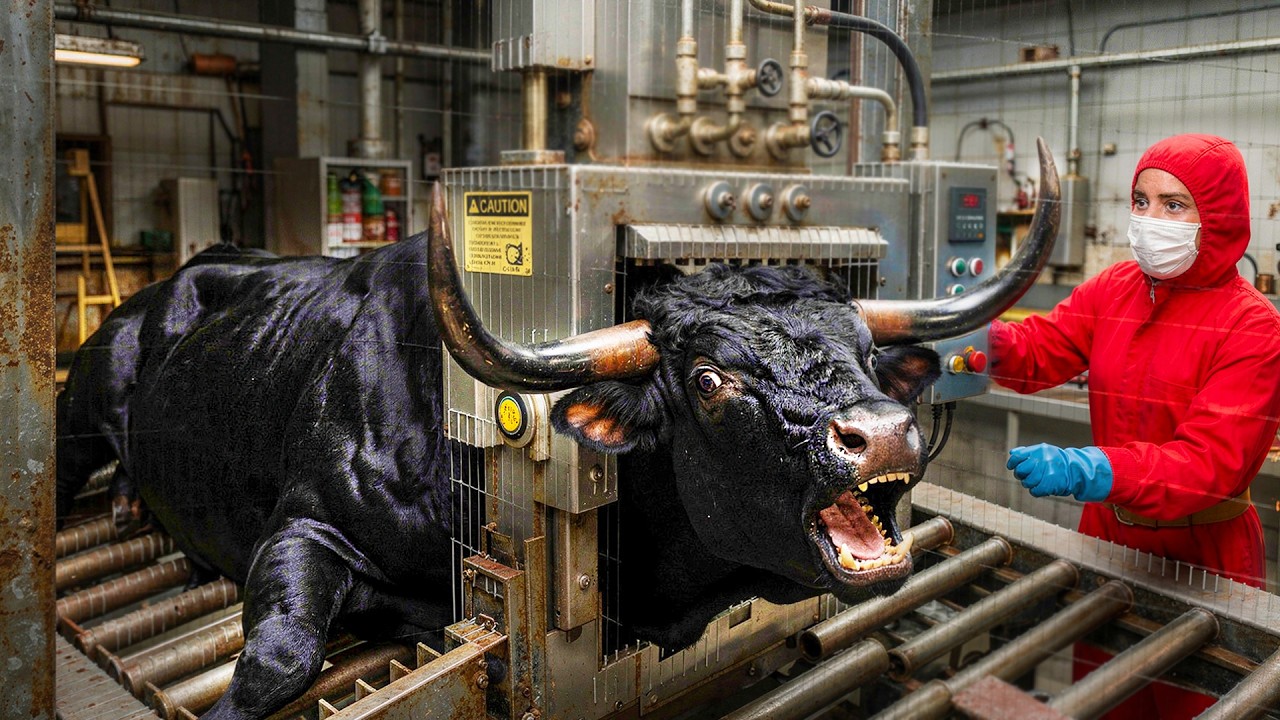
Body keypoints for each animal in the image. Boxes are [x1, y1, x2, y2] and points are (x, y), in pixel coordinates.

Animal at [56, 141, 1059, 719]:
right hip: (80, 402)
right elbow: (278, 659)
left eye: (863, 347)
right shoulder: (304, 522)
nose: (882, 433)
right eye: (709, 379)